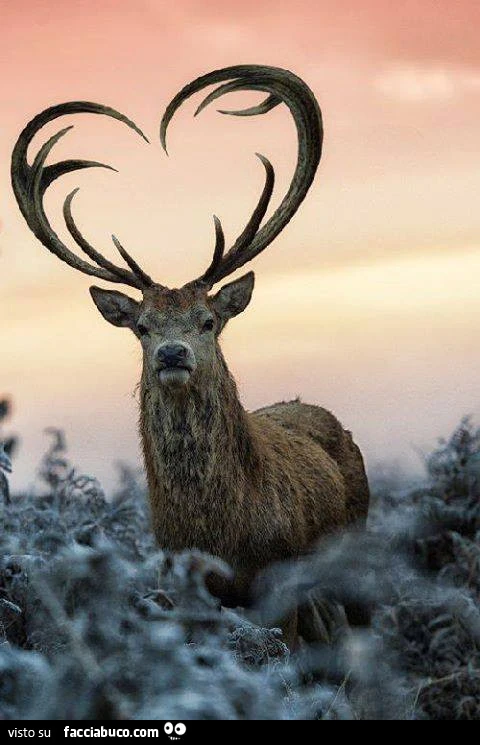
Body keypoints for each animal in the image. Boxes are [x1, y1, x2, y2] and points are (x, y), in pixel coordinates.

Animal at [11, 65, 370, 647]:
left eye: (208, 320)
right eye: (141, 327)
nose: (172, 353)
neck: (221, 535)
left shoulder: (280, 583)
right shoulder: (178, 586)